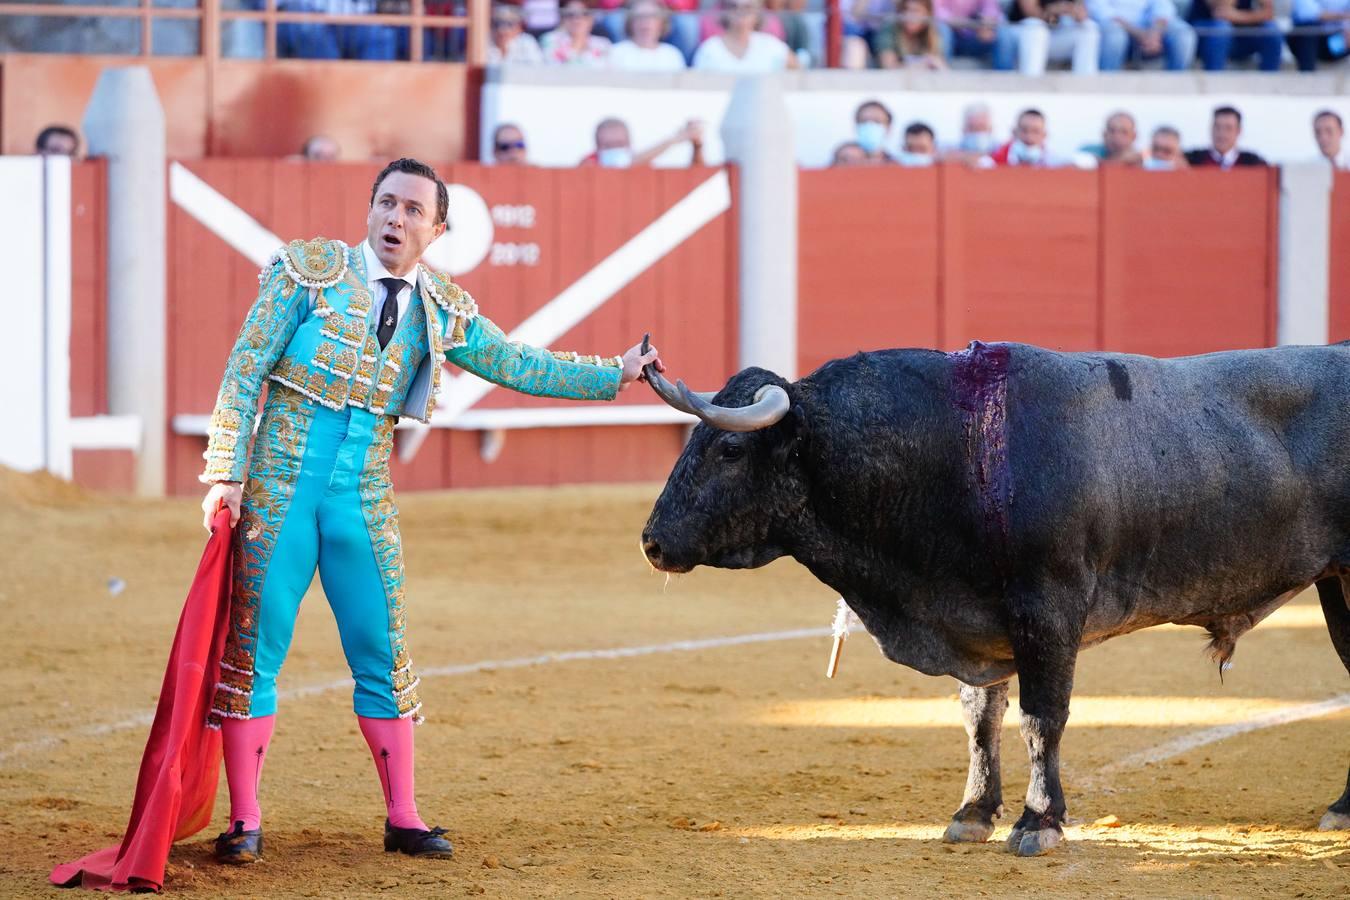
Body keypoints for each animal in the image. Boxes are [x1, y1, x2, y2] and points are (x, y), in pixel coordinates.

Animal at [637, 341, 1350, 858]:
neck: (959, 449)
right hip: (1336, 585)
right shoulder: (978, 619)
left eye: (730, 448)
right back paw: (1342, 808)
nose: (651, 541)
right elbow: (980, 718)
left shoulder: (1049, 609)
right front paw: (973, 812)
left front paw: (1039, 822)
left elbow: (1042, 717)